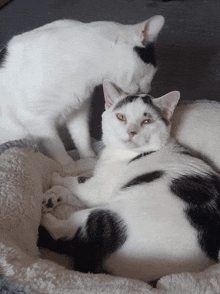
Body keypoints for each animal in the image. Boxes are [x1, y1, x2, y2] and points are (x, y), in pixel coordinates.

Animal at [0, 14, 164, 173]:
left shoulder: (79, 110)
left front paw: (89, 158)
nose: (148, 89)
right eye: (153, 71)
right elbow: (56, 147)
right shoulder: (36, 119)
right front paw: (69, 167)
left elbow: (82, 137)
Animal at [40, 80, 220, 282]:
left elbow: (75, 182)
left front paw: (56, 177)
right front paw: (54, 195)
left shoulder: (98, 189)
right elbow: (75, 189)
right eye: (121, 117)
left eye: (147, 121)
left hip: (102, 218)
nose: (131, 132)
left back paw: (45, 218)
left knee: (64, 230)